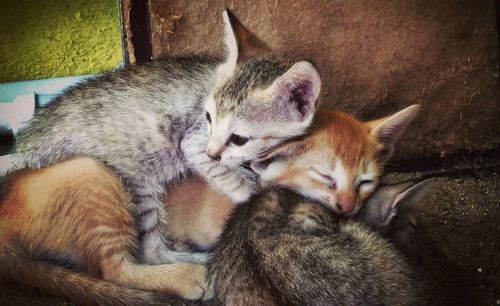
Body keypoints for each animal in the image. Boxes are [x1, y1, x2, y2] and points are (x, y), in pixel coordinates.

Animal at [0, 10, 320, 266]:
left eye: (239, 138)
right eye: (208, 117)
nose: (214, 151)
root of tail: (27, 143)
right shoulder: (192, 142)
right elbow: (230, 175)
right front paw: (251, 189)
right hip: (138, 186)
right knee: (150, 253)